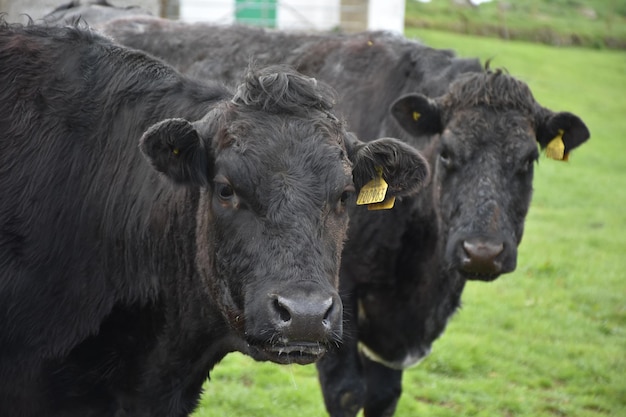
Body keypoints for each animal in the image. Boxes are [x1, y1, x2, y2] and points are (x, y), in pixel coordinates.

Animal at [44, 4, 588, 414]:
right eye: (448, 154)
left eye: (528, 160)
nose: (482, 252)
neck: (419, 289)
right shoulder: (340, 297)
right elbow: (348, 392)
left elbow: (384, 395)